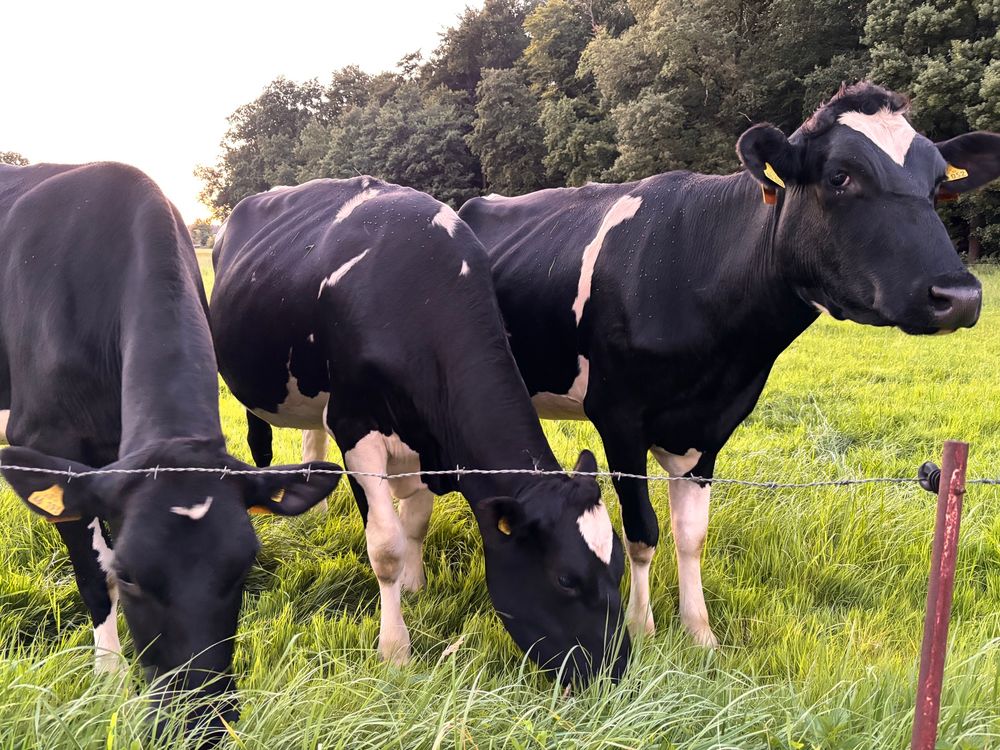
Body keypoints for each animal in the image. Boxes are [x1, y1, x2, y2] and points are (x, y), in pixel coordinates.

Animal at [0, 162, 342, 740]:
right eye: (130, 575)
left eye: (245, 566)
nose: (197, 723)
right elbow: (93, 577)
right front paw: (109, 680)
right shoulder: (43, 440)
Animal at [209, 177, 630, 685]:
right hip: (248, 388)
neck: (417, 292)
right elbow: (386, 546)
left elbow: (416, 521)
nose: (615, 674)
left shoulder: (431, 442)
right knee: (261, 450)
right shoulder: (356, 428)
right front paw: (395, 649)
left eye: (619, 565)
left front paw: (415, 587)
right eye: (566, 579)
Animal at [459, 82, 1000, 648]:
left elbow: (691, 534)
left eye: (938, 184)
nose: (959, 295)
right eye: (840, 176)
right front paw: (643, 629)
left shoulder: (712, 425)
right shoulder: (617, 416)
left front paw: (700, 634)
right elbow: (641, 531)